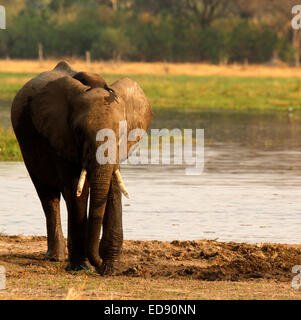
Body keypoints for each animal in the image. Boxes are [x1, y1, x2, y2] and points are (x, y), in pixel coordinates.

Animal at [10, 60, 152, 276]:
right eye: (78, 131)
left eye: (121, 133)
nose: (99, 265)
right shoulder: (61, 137)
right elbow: (77, 189)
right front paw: (82, 268)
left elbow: (113, 189)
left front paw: (110, 269)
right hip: (26, 146)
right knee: (47, 196)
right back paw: (55, 258)